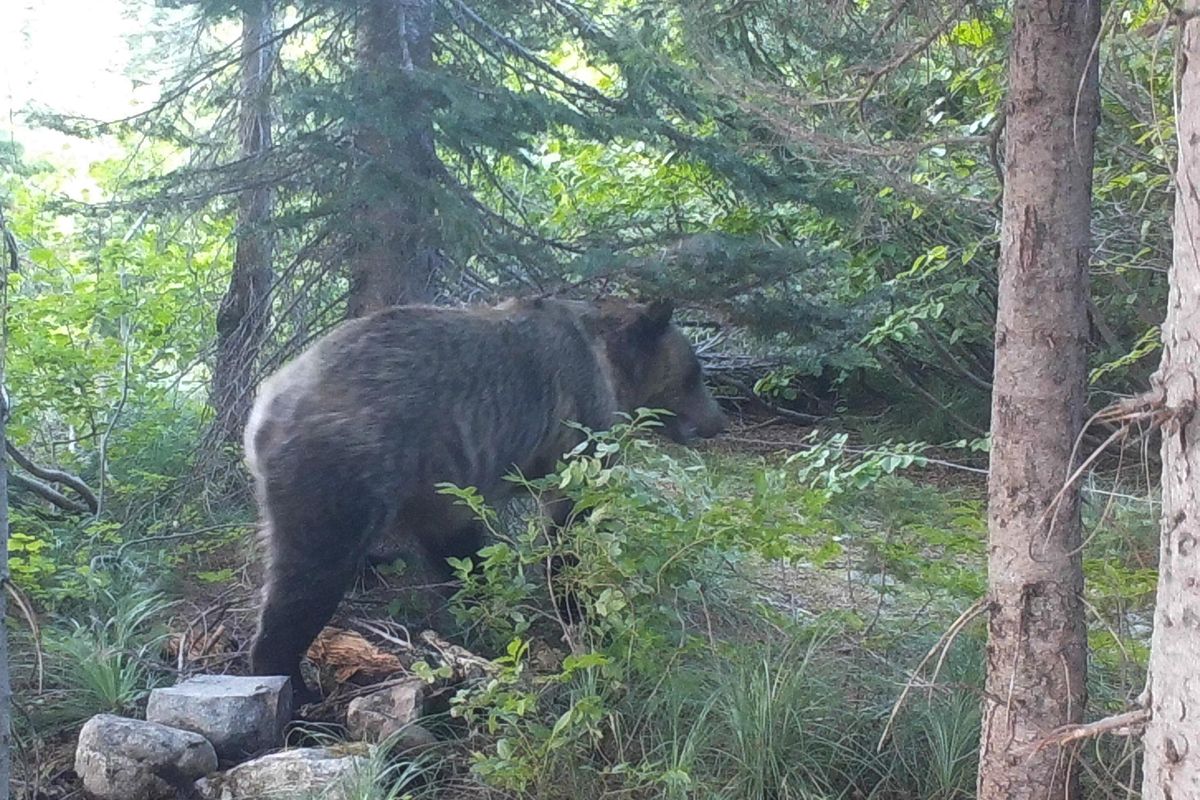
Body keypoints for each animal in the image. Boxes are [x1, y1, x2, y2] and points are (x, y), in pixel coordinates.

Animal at [242, 297, 724, 695]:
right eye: (696, 373)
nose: (718, 421)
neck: (612, 364)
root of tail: (264, 406)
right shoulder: (579, 418)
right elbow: (570, 521)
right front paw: (578, 605)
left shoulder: (440, 482)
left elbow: (458, 546)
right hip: (340, 468)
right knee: (308, 575)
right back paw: (292, 688)